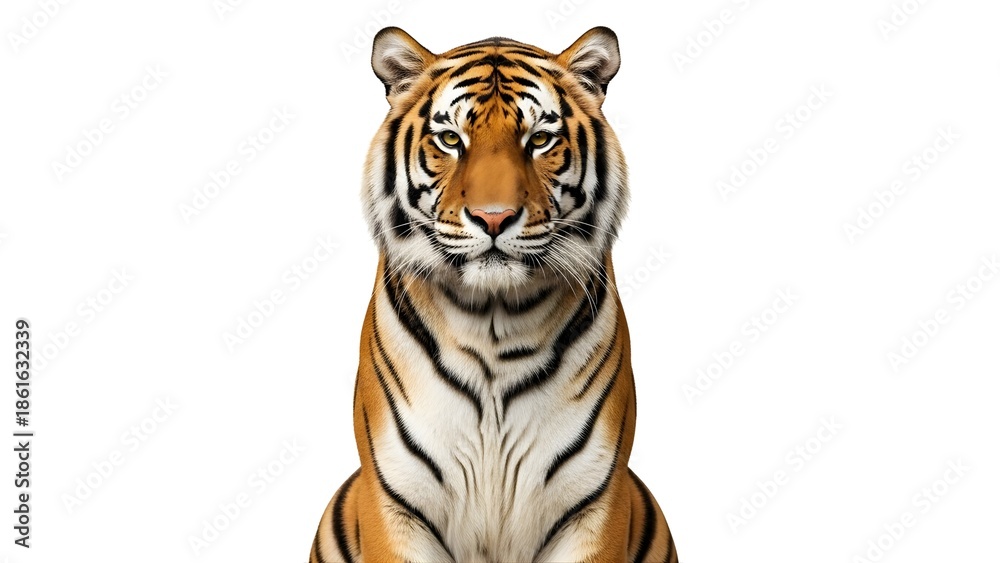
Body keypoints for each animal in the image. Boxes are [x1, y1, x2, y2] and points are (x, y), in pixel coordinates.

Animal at [309, 26, 678, 563]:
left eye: (539, 140)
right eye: (450, 139)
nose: (494, 218)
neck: (493, 319)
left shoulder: (595, 503)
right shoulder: (395, 502)